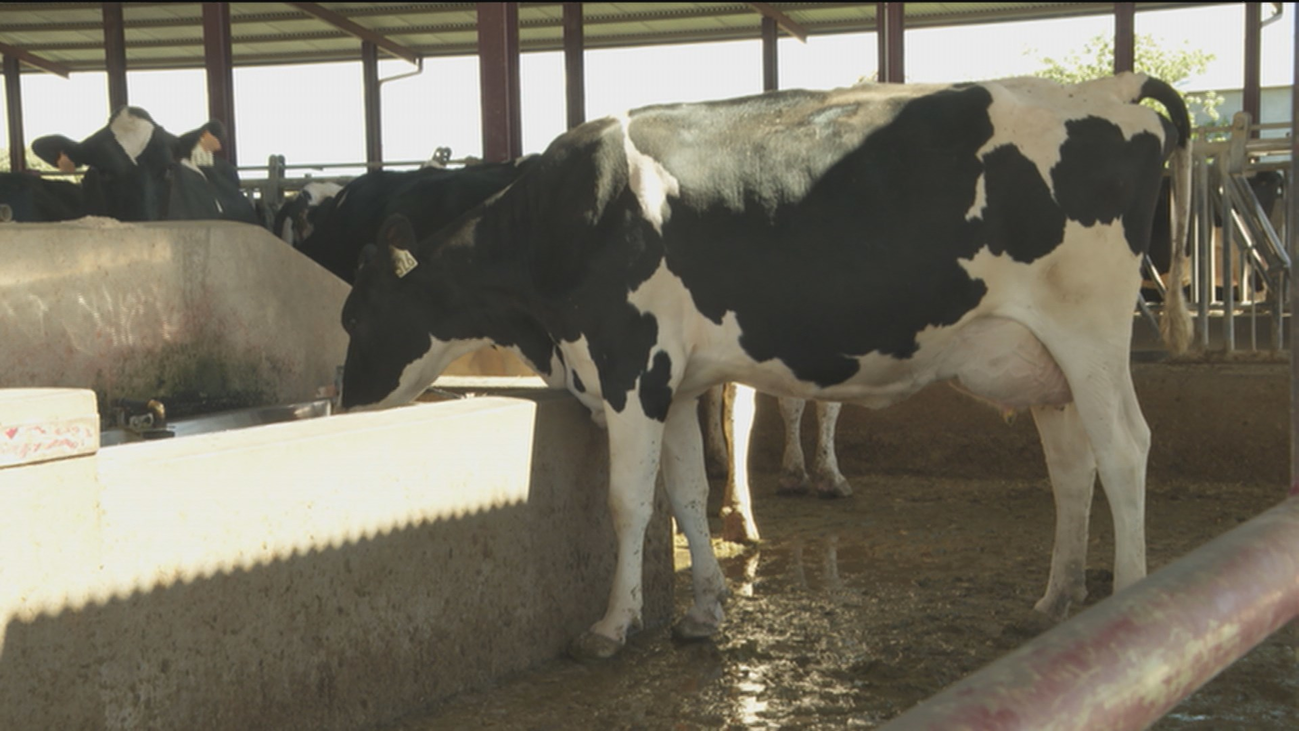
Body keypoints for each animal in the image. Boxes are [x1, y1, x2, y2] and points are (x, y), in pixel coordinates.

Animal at [338, 73, 1191, 660]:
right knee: (1073, 467)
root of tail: (1111, 90)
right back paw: (1054, 601)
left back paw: (1128, 598)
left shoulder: (629, 367)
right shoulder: (674, 382)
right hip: (1045, 361)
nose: (341, 402)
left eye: (352, 316)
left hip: (1088, 334)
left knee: (1124, 448)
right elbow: (684, 493)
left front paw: (612, 625)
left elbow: (627, 501)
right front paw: (702, 610)